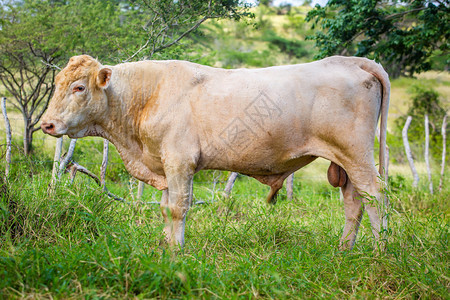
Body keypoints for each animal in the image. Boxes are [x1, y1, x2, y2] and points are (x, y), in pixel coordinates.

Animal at [41, 55, 390, 250]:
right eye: (56, 84)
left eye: (79, 87)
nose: (46, 124)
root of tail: (349, 60)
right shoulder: (165, 166)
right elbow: (165, 208)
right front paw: (166, 248)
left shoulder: (180, 162)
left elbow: (178, 208)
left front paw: (178, 251)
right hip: (345, 162)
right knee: (354, 203)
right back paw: (343, 250)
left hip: (358, 155)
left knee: (376, 197)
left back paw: (380, 250)